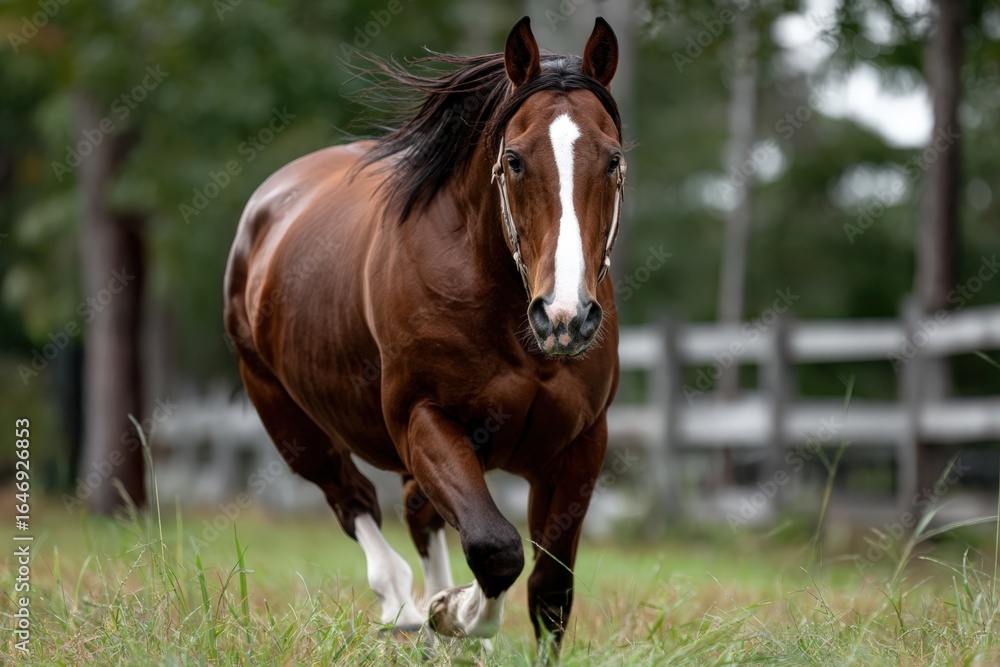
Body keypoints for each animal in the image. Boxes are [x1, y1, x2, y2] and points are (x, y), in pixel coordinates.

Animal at [223, 15, 625, 656]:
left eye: (612, 159)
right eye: (515, 160)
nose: (564, 317)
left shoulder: (581, 443)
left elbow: (549, 590)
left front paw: (460, 620)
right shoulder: (423, 419)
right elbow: (494, 547)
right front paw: (450, 613)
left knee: (420, 514)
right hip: (285, 416)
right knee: (354, 502)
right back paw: (408, 609)